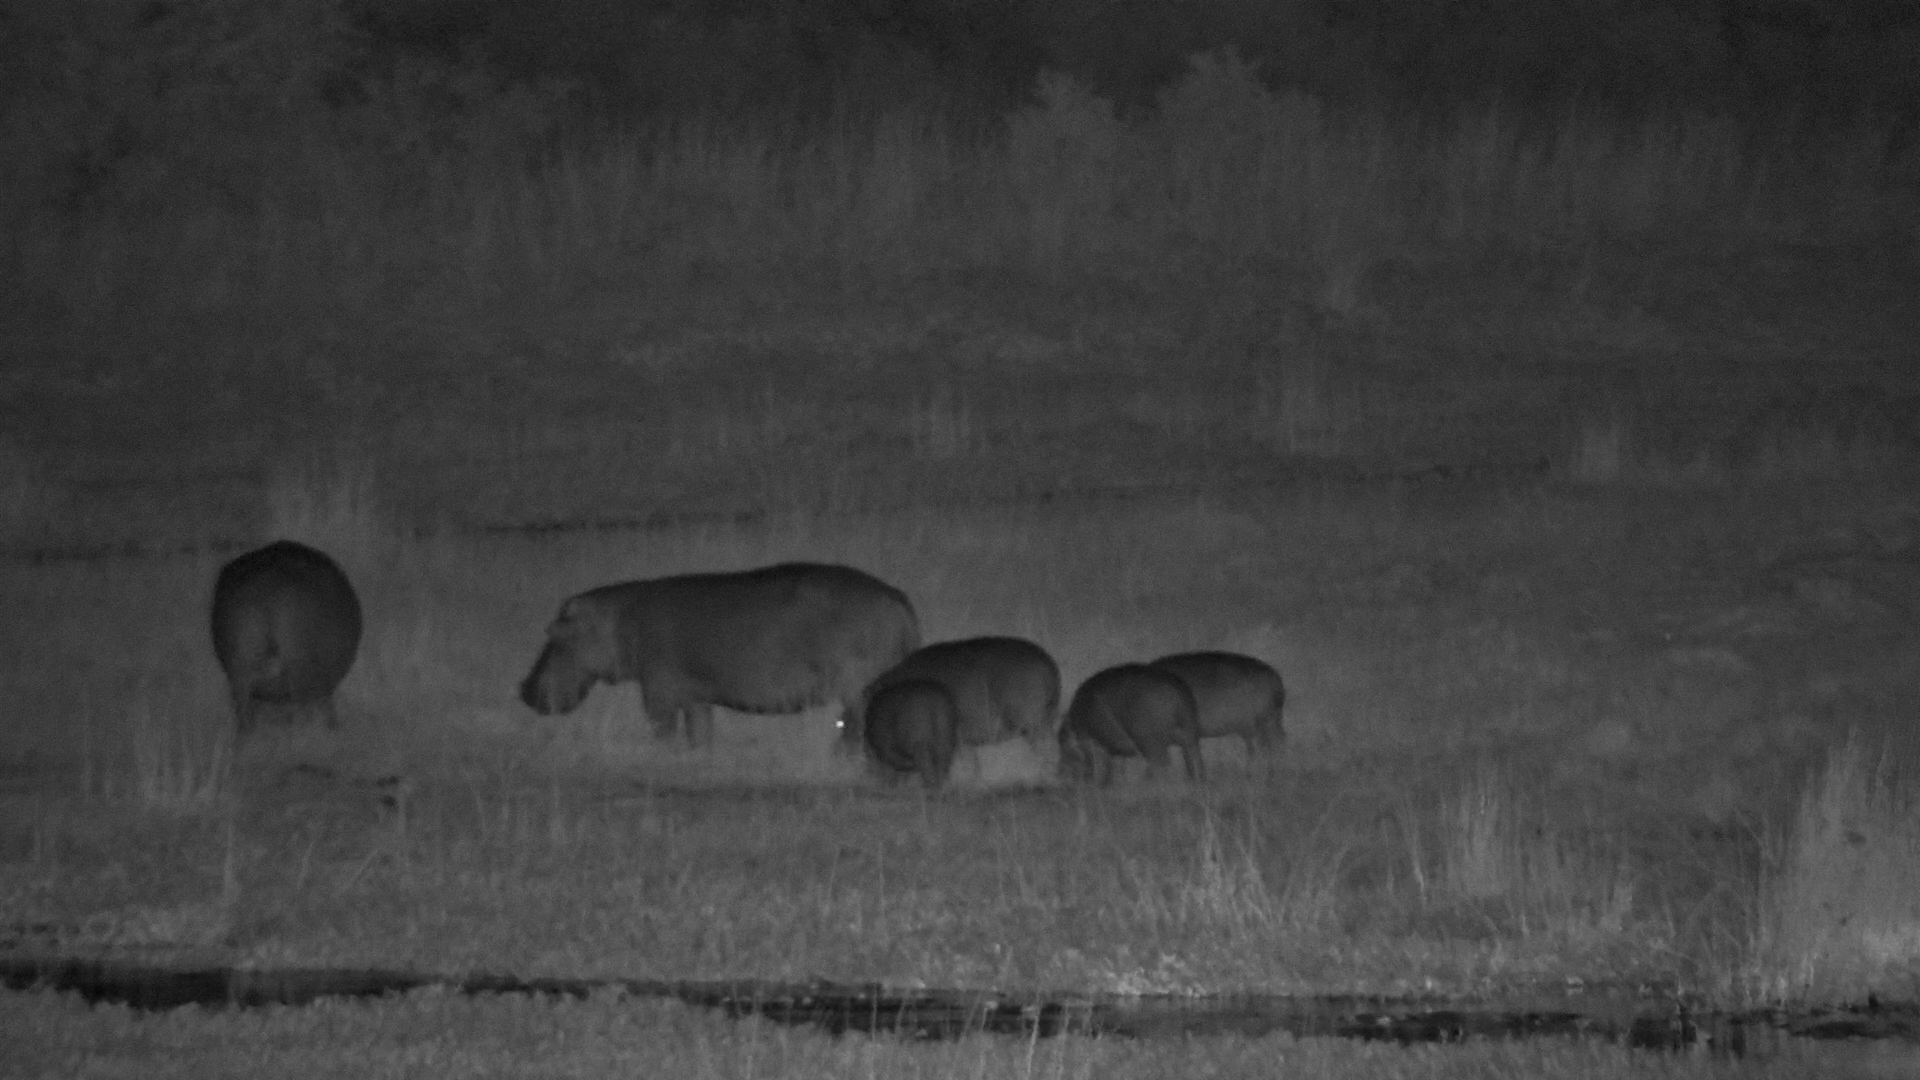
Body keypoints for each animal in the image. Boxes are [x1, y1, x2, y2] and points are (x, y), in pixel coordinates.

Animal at [519, 562, 920, 745]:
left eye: (553, 636)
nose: (523, 689)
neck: (615, 619)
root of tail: (896, 596)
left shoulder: (658, 693)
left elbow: (663, 732)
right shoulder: (696, 697)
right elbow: (700, 734)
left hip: (856, 689)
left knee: (855, 727)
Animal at [1058, 663, 1204, 785]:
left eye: (1064, 746)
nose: (1060, 773)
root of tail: (1178, 690)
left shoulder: (1092, 742)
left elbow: (1099, 764)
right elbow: (1113, 765)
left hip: (1150, 741)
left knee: (1161, 764)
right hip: (1189, 736)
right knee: (1194, 761)